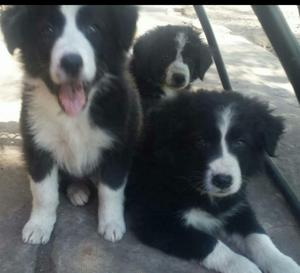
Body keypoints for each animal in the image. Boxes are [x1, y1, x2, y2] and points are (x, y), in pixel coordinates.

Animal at [126, 90, 300, 272]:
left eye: (240, 142)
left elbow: (258, 235)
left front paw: (284, 263)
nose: (223, 181)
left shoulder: (237, 205)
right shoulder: (155, 220)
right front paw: (245, 266)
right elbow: (210, 243)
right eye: (201, 141)